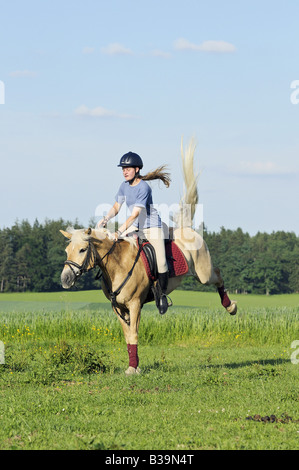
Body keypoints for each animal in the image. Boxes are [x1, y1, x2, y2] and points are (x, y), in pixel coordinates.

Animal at [60, 141, 237, 376]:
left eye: (81, 250)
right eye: (66, 251)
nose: (65, 279)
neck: (117, 267)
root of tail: (187, 228)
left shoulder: (135, 304)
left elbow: (134, 335)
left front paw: (134, 369)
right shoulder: (118, 308)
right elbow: (127, 337)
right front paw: (131, 366)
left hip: (203, 272)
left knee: (217, 275)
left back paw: (231, 307)